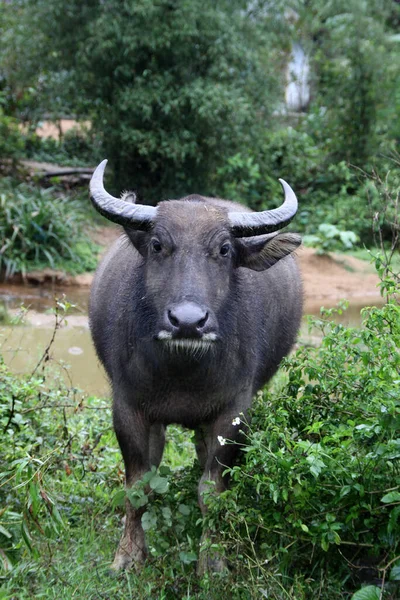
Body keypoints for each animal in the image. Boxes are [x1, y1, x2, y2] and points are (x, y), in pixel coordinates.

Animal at [89, 159, 302, 572]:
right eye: (158, 245)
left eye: (223, 249)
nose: (188, 321)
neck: (182, 371)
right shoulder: (127, 407)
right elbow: (138, 486)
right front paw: (128, 556)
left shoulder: (234, 412)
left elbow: (212, 490)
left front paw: (213, 563)